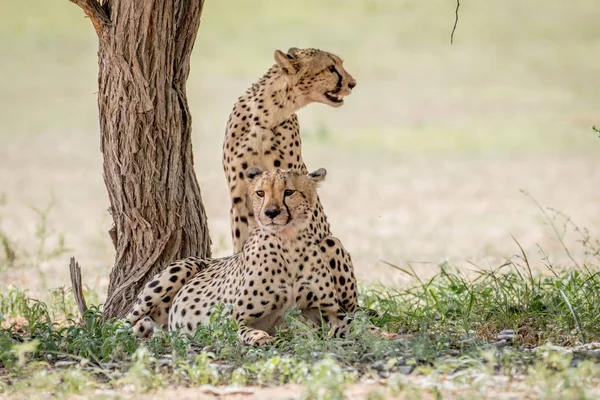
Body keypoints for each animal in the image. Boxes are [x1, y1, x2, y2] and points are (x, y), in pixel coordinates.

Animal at [126, 167, 352, 346]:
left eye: (289, 192)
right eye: (260, 192)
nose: (270, 212)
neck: (288, 244)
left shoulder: (331, 312)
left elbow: (349, 324)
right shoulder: (231, 319)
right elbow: (246, 330)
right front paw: (261, 337)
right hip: (176, 272)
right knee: (124, 324)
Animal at [223, 47, 358, 312]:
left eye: (339, 65)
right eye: (331, 67)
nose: (352, 83)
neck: (268, 114)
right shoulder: (239, 199)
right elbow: (241, 246)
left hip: (331, 244)